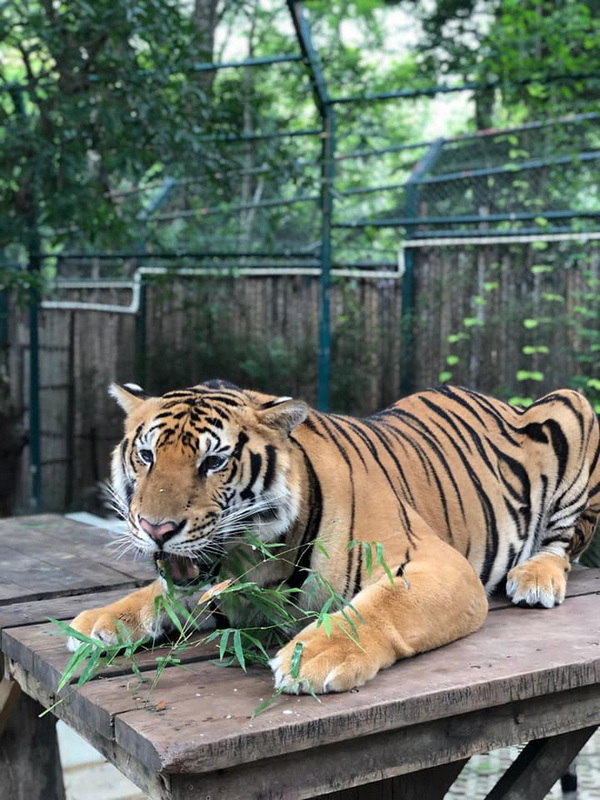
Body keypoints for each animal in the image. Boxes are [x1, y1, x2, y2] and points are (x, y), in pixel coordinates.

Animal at [69, 380, 600, 694]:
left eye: (214, 461)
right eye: (146, 456)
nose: (156, 529)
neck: (254, 558)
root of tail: (502, 400)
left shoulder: (440, 565)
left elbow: (384, 606)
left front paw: (313, 655)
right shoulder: (223, 590)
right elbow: (160, 592)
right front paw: (99, 620)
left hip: (573, 408)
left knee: (563, 546)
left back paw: (534, 578)